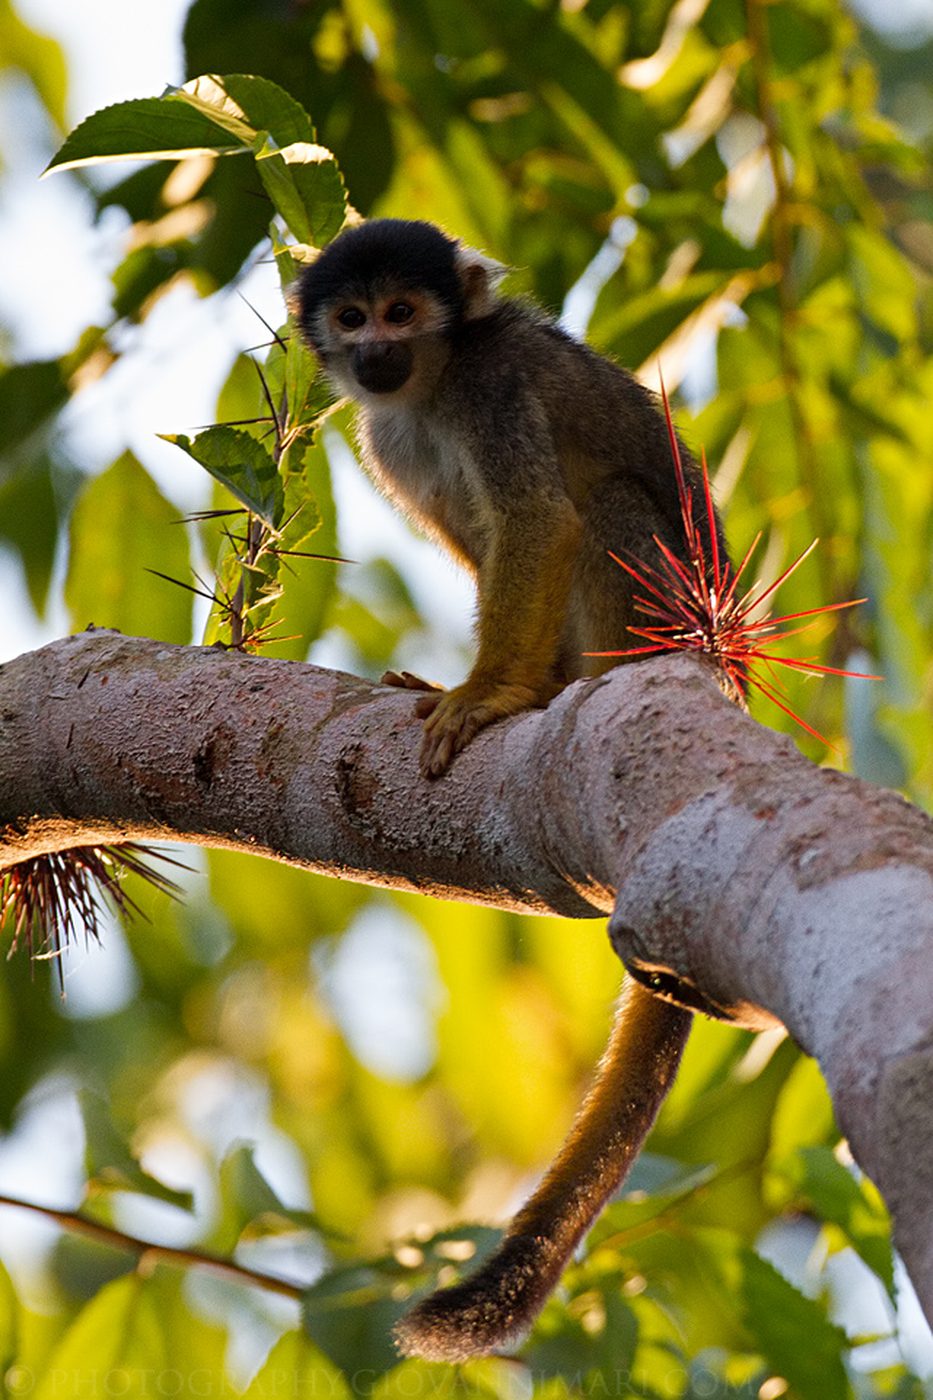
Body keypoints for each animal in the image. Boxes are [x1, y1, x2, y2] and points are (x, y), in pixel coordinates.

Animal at [291, 218, 729, 1361]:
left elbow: (537, 518)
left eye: (404, 312)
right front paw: (476, 683)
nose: (373, 352)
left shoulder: (492, 390)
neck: (433, 382)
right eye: (352, 318)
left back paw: (572, 683)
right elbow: (482, 538)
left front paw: (493, 696)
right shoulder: (385, 435)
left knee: (605, 504)